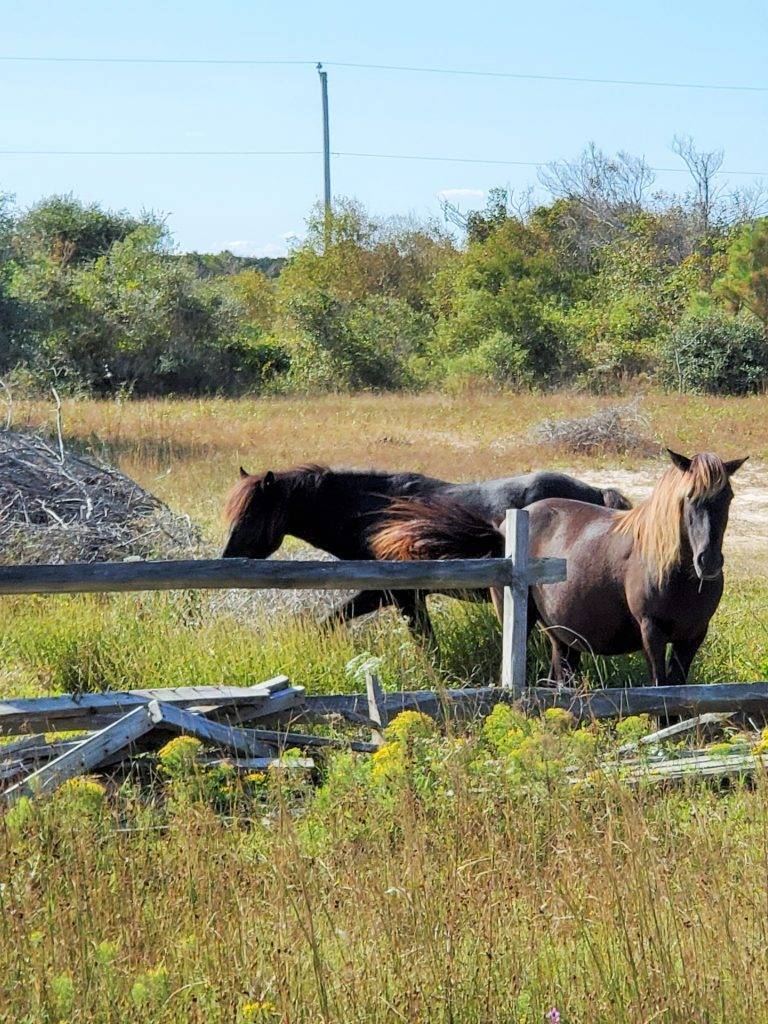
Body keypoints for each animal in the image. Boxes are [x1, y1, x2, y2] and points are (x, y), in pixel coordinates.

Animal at [222, 464, 630, 638]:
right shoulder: (389, 595)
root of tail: (598, 493)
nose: (226, 559)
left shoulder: (400, 595)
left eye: (251, 514)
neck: (376, 512)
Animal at [376, 450, 749, 684]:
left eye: (727, 497)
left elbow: (679, 686)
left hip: (560, 636)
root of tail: (502, 529)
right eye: (689, 498)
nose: (708, 561)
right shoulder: (651, 632)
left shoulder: (693, 636)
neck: (675, 575)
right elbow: (661, 686)